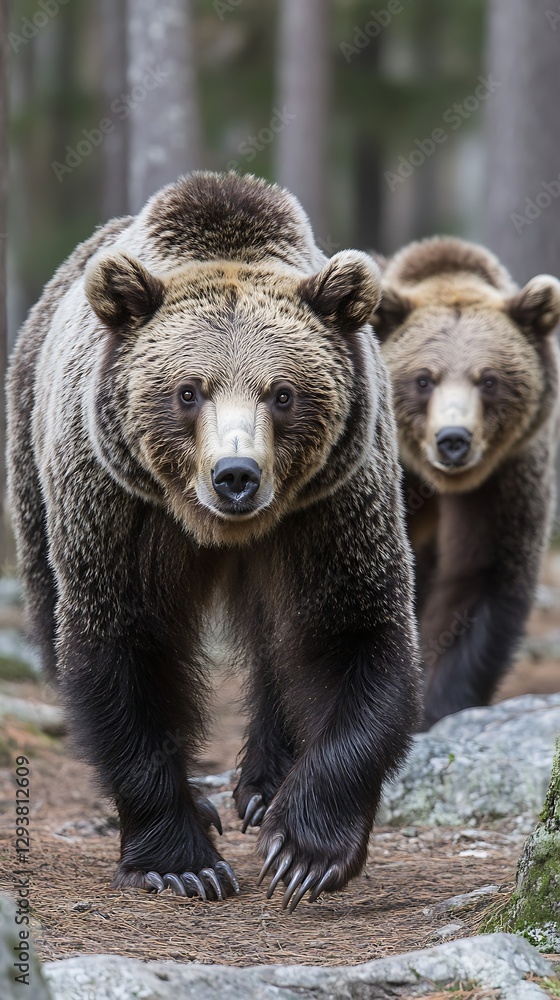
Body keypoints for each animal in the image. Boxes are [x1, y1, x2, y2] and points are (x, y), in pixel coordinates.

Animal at [7, 171, 420, 910]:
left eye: (282, 393)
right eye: (188, 391)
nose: (235, 475)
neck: (219, 529)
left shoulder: (332, 505)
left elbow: (353, 634)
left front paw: (304, 852)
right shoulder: (123, 509)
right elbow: (122, 649)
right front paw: (181, 860)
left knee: (278, 640)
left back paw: (263, 785)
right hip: (32, 452)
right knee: (51, 610)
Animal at [371, 236, 560, 729]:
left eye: (488, 379)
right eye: (424, 378)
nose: (453, 439)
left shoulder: (504, 475)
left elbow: (479, 579)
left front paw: (437, 706)